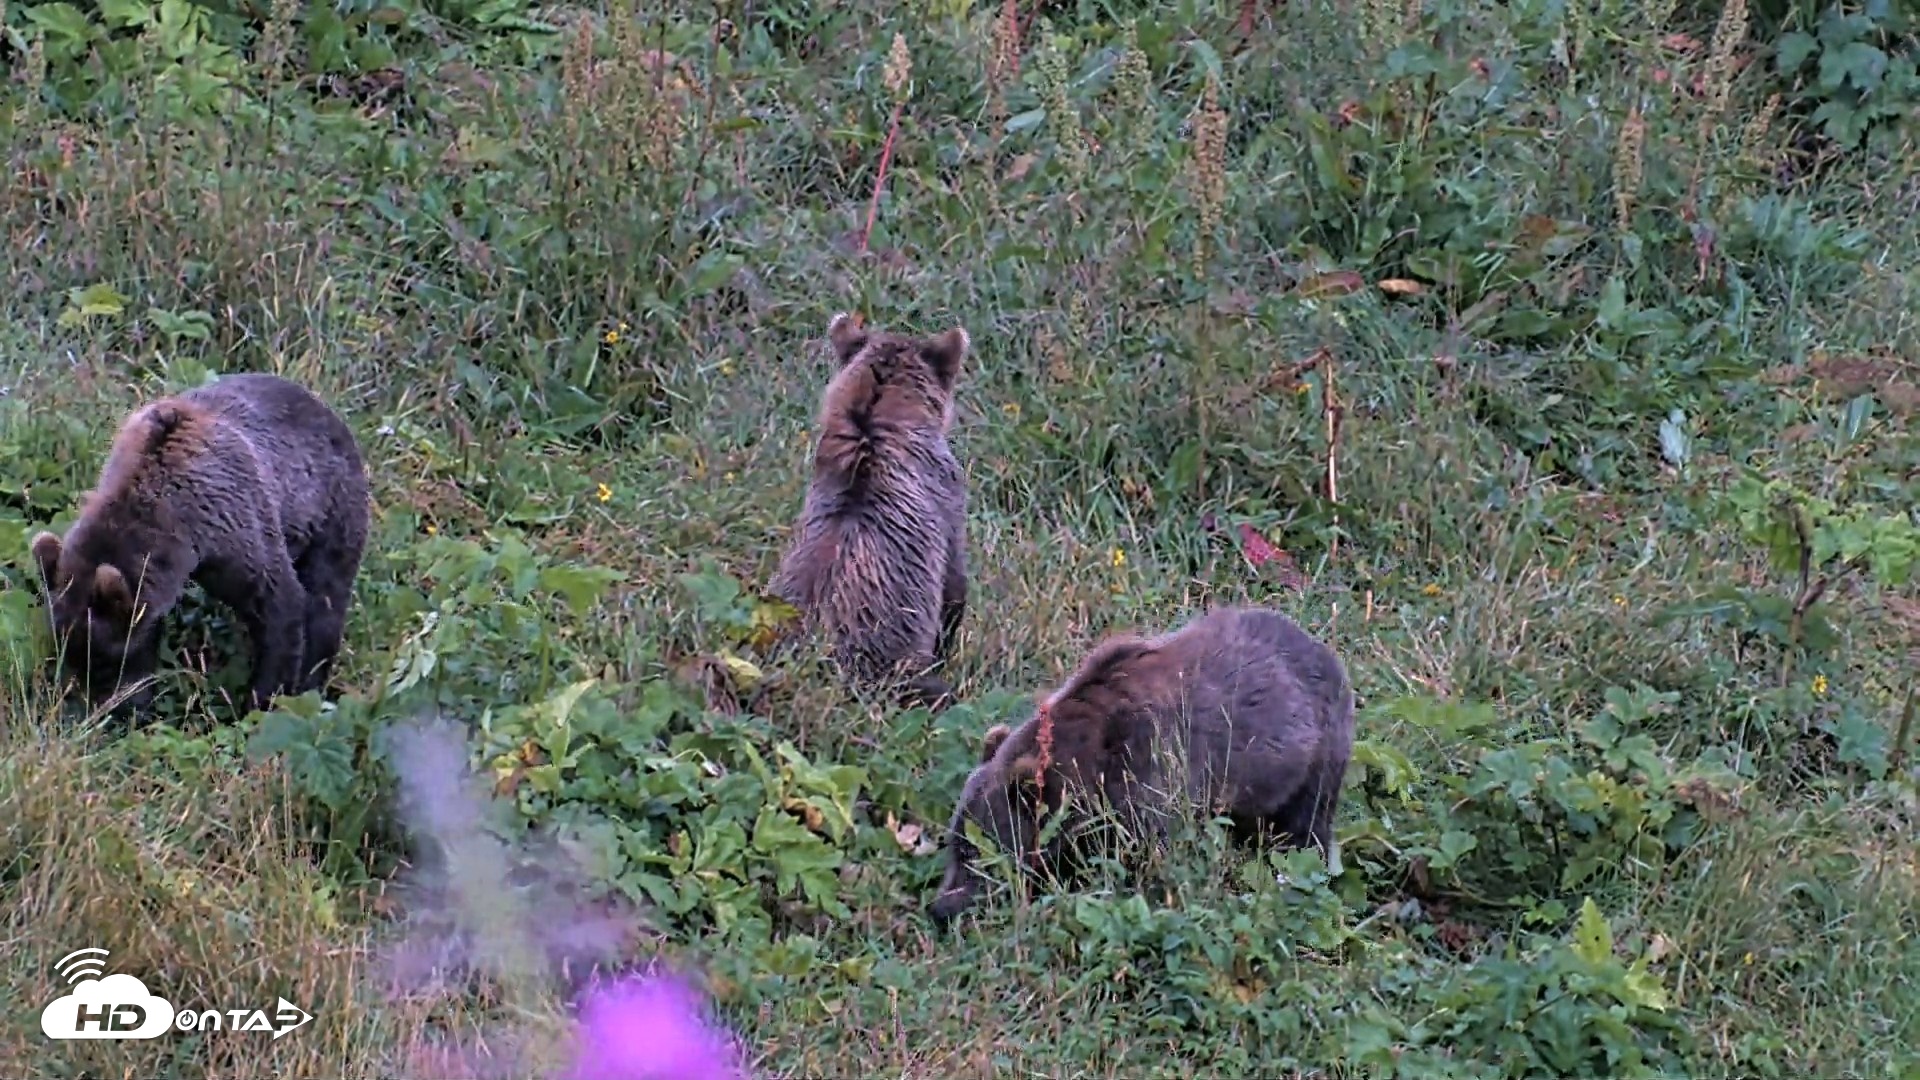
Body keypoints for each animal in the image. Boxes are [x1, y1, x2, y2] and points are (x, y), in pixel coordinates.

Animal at [30, 371, 371, 716]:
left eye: (102, 661)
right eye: (65, 653)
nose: (104, 710)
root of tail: (329, 411)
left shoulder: (235, 526)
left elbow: (281, 606)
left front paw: (262, 700)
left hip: (333, 510)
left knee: (326, 597)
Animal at [927, 604, 1356, 927]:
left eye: (974, 849)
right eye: (954, 841)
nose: (940, 908)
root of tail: (1326, 650)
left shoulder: (1152, 770)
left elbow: (1148, 854)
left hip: (1311, 759)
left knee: (1305, 827)